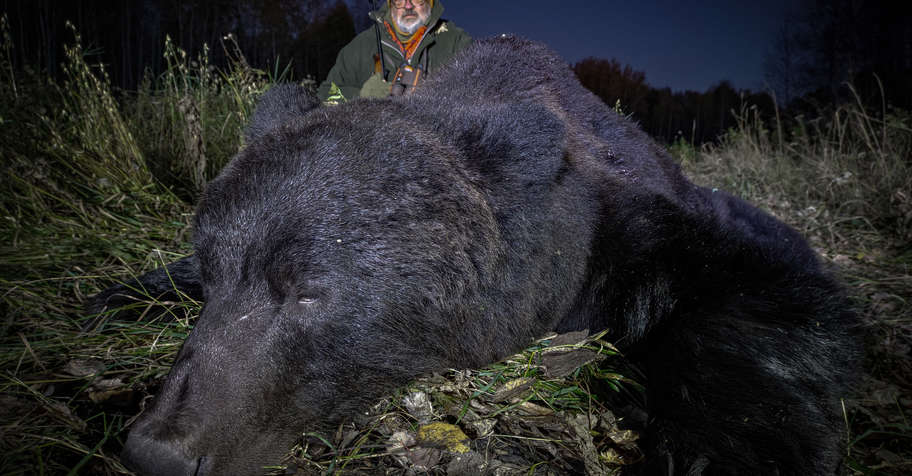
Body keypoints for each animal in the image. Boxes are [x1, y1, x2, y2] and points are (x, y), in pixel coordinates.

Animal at [91, 37, 859, 475]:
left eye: (307, 291)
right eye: (213, 274)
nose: (155, 454)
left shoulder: (623, 234)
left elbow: (760, 295)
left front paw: (726, 448)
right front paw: (118, 295)